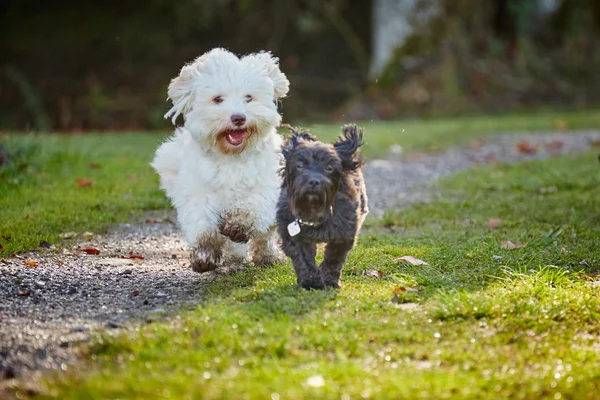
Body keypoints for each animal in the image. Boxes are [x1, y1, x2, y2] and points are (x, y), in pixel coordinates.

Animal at [151, 47, 290, 272]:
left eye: (248, 97)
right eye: (218, 99)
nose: (238, 118)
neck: (231, 156)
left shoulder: (268, 188)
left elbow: (252, 207)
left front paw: (239, 224)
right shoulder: (198, 194)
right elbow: (203, 227)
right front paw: (204, 255)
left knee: (263, 236)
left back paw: (265, 256)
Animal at [276, 123, 366, 290]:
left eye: (329, 168)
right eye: (300, 165)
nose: (313, 181)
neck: (314, 208)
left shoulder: (343, 235)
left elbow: (333, 259)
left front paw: (329, 280)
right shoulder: (293, 237)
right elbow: (304, 260)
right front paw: (311, 282)